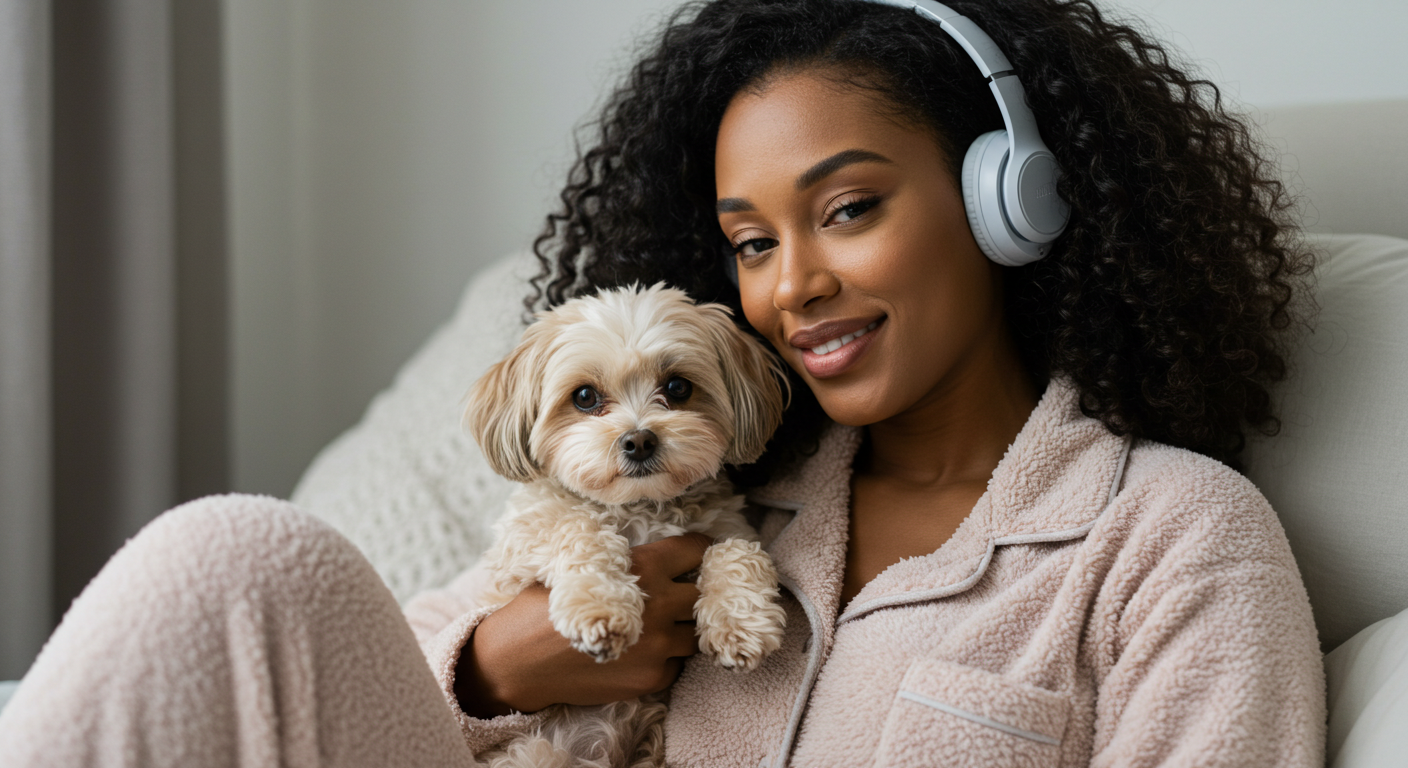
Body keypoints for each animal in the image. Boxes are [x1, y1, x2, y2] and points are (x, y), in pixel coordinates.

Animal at [464, 281, 788, 766]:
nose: (639, 440)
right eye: (584, 397)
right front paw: (600, 609)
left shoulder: (729, 527)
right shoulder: (521, 542)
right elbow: (581, 528)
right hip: (533, 753)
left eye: (678, 386)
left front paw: (739, 622)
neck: (641, 509)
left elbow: (735, 551)